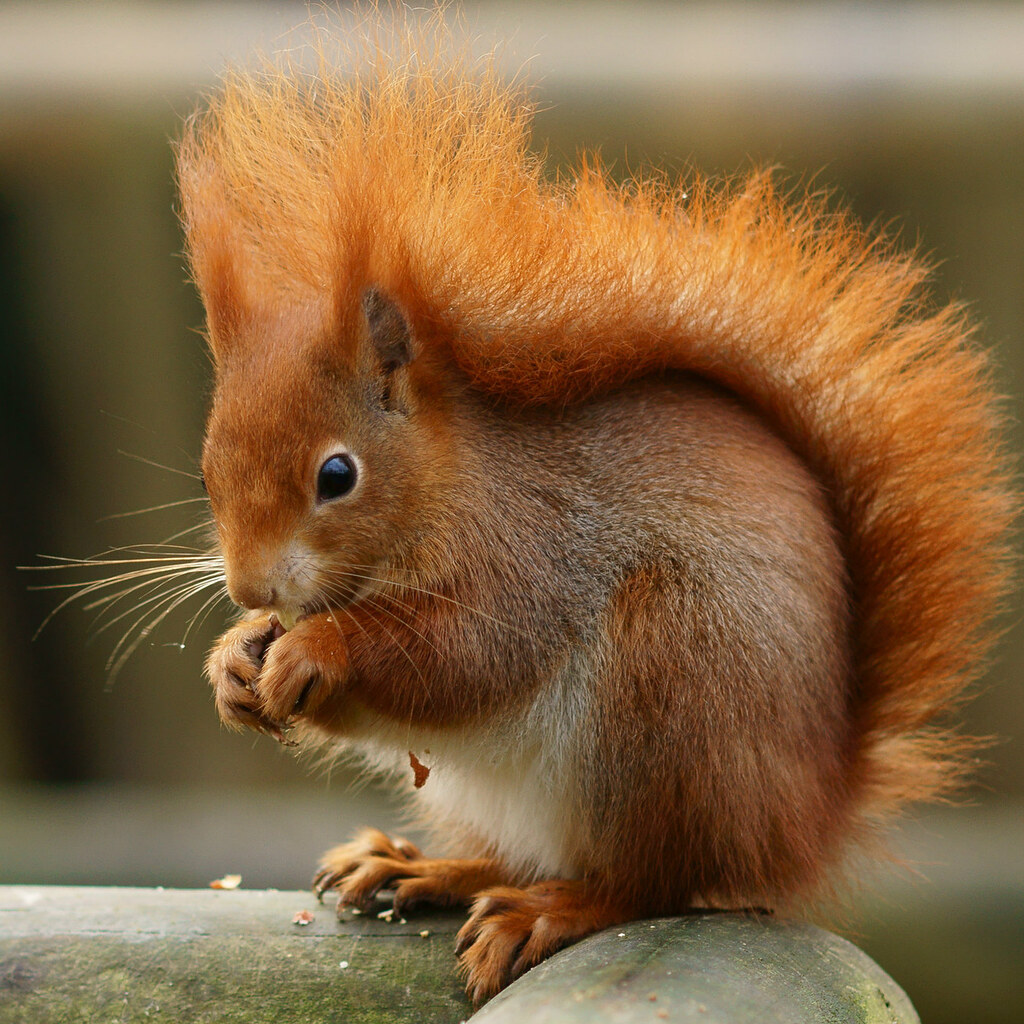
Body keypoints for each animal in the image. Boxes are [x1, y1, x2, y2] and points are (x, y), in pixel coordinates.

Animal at [177, 9, 1014, 1004]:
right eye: (208, 469)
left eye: (337, 475)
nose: (250, 586)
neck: (445, 489)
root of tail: (804, 817)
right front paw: (236, 661)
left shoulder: (529, 551)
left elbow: (465, 658)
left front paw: (314, 651)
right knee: (528, 855)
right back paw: (425, 867)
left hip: (668, 692)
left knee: (648, 881)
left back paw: (551, 911)